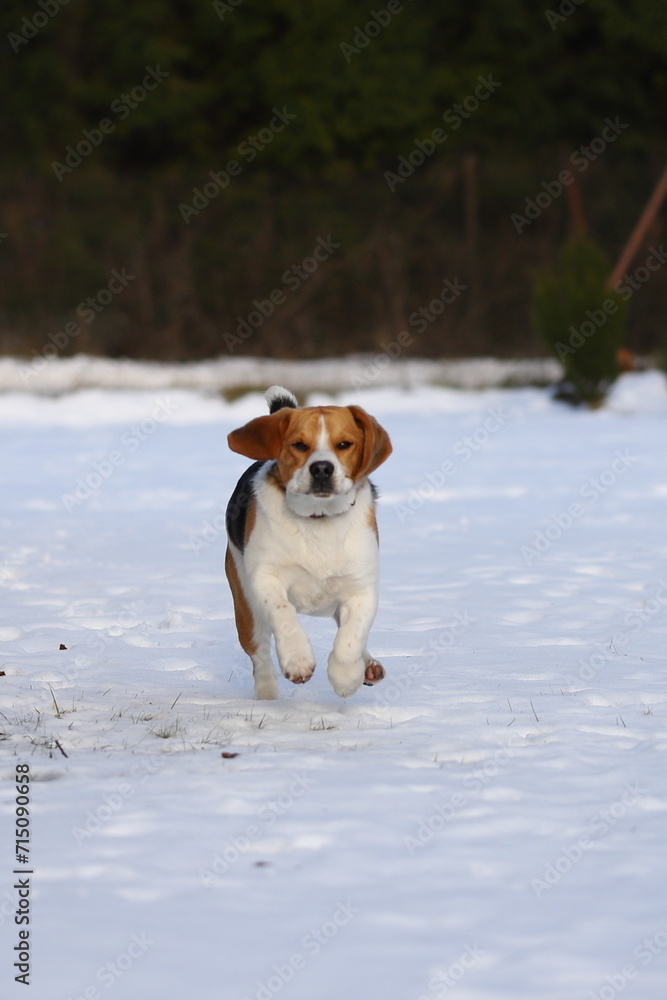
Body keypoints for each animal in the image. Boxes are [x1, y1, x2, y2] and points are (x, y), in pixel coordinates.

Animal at [226, 386, 392, 700]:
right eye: (299, 445)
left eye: (344, 444)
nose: (322, 469)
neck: (319, 518)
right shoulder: (265, 577)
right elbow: (284, 613)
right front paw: (298, 660)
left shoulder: (361, 589)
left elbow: (350, 638)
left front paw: (346, 676)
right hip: (244, 601)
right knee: (259, 653)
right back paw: (266, 694)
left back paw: (368, 666)